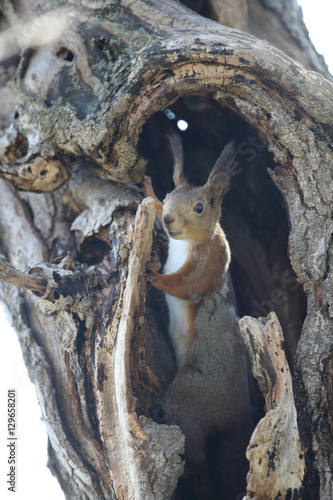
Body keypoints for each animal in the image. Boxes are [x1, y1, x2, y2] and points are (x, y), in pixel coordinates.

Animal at [145, 135, 252, 498]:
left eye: (200, 207)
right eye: (167, 197)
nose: (167, 220)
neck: (188, 242)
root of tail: (238, 416)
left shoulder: (211, 261)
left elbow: (187, 286)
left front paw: (154, 276)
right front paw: (147, 190)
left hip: (195, 395)